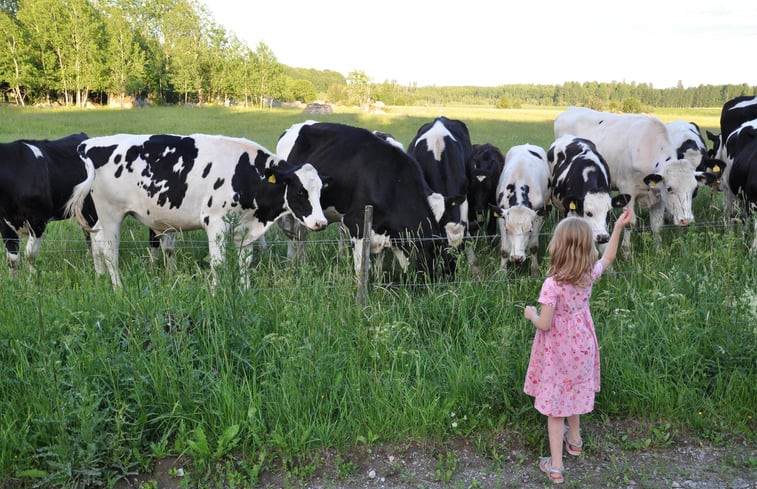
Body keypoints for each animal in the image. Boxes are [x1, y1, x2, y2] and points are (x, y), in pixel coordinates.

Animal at [0, 133, 97, 270]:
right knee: (87, 232)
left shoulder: (37, 221)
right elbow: (12, 259)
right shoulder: (4, 223)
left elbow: (30, 255)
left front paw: (32, 275)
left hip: (93, 209)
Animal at [65, 133, 324, 286]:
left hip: (101, 218)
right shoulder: (215, 222)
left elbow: (245, 263)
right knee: (110, 251)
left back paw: (100, 276)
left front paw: (244, 292)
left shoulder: (246, 228)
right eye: (300, 192)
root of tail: (90, 143)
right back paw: (118, 288)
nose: (320, 223)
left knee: (97, 242)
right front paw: (216, 295)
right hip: (111, 213)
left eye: (320, 191)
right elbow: (217, 264)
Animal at [278, 120, 454, 278]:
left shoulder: (384, 229)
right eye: (437, 262)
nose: (440, 289)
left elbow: (379, 261)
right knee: (294, 234)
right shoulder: (356, 223)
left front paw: (379, 280)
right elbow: (362, 268)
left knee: (300, 233)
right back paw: (292, 263)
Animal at [494, 144, 548, 274]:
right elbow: (505, 249)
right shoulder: (501, 217)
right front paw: (502, 272)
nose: (517, 258)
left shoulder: (538, 217)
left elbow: (533, 246)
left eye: (530, 230)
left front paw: (534, 270)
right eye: (507, 229)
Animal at [552, 107, 712, 252]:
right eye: (670, 188)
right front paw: (626, 251)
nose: (687, 220)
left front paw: (658, 250)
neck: (647, 148)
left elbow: (657, 226)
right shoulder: (627, 190)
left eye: (694, 189)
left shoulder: (658, 195)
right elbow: (629, 223)